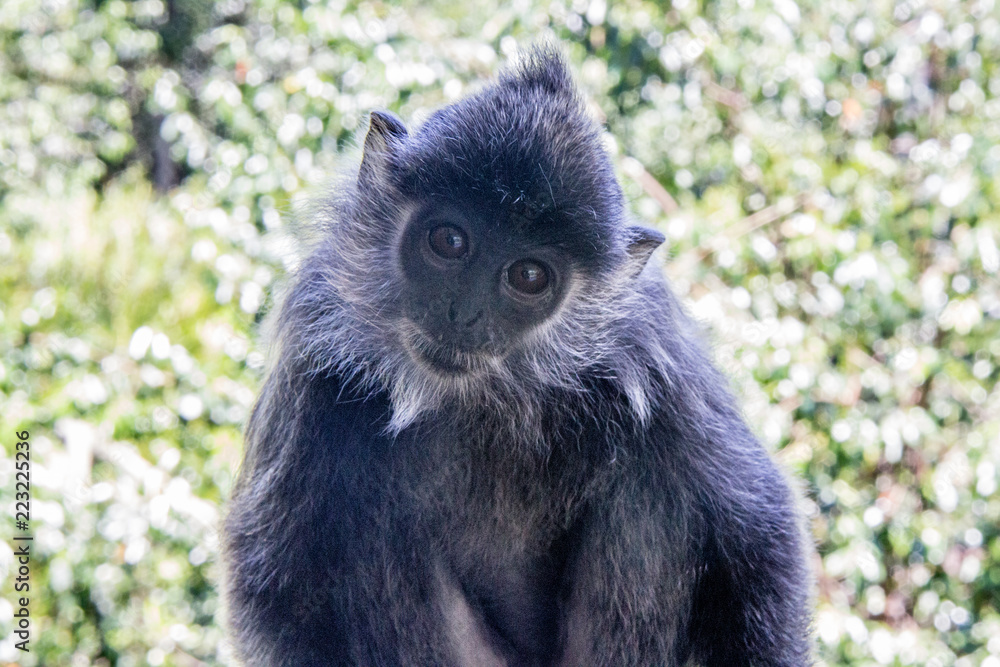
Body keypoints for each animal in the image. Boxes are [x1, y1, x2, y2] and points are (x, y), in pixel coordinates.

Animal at [223, 48, 812, 666]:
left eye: (528, 276)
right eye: (449, 241)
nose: (463, 314)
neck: (483, 398)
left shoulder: (651, 349)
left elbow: (757, 528)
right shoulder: (313, 344)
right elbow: (280, 584)